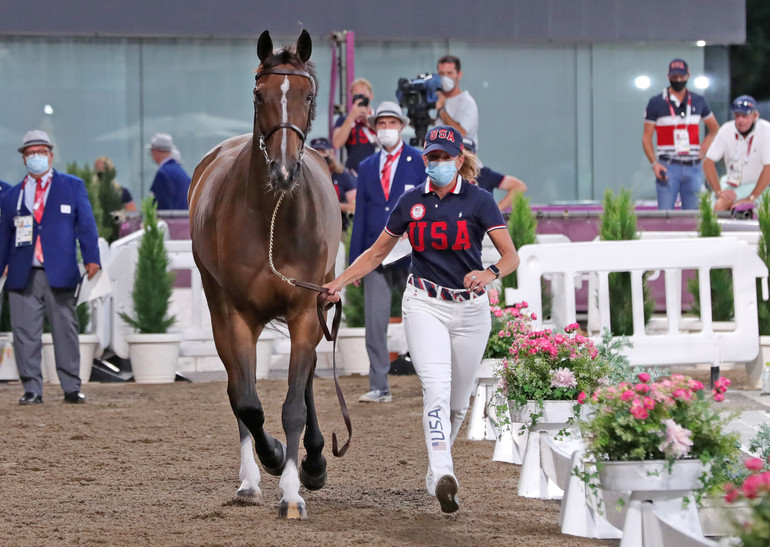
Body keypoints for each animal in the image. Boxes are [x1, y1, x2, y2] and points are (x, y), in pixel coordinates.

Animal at [186, 32, 342, 520]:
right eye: (260, 95)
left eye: (308, 95)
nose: (284, 171)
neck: (274, 216)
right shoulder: (235, 316)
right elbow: (249, 404)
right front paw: (271, 458)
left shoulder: (305, 311)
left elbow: (293, 403)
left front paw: (294, 487)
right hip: (223, 312)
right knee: (240, 392)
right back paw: (251, 479)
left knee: (305, 381)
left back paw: (313, 462)